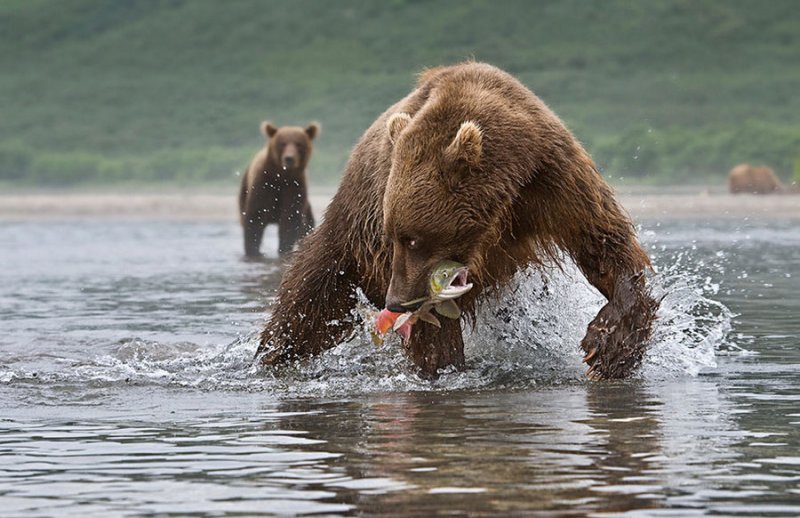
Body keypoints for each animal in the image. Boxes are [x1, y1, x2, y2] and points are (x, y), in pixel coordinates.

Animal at [239, 124, 320, 258]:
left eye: (298, 144)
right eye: (282, 143)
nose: (289, 158)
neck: (281, 175)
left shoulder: (294, 187)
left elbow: (290, 218)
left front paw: (284, 249)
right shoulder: (264, 183)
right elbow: (255, 216)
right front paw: (253, 251)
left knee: (307, 226)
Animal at [255, 64, 656, 382]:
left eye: (412, 238)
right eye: (393, 235)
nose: (395, 302)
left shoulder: (550, 178)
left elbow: (603, 242)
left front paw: (607, 348)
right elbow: (432, 325)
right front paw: (442, 363)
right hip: (343, 241)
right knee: (305, 307)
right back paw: (270, 357)